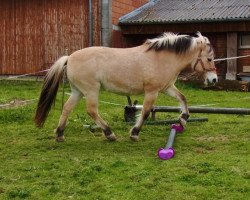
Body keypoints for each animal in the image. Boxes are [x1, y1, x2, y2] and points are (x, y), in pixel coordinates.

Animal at [34, 32, 217, 141]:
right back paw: (109, 133)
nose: (214, 80)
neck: (162, 58)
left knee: (67, 108)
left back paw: (60, 134)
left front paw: (183, 119)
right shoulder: (152, 91)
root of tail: (69, 57)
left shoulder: (166, 88)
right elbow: (145, 111)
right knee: (91, 110)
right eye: (209, 59)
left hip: (78, 91)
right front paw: (134, 133)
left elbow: (183, 98)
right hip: (91, 90)